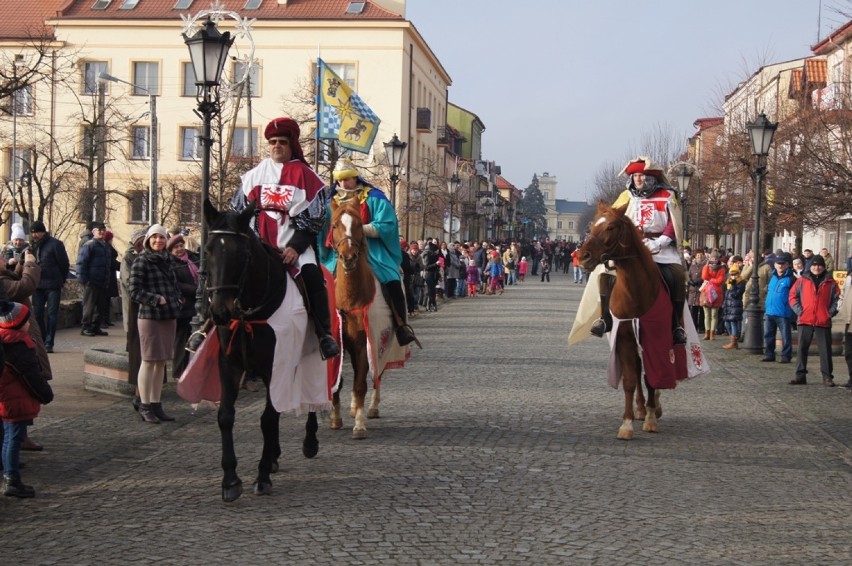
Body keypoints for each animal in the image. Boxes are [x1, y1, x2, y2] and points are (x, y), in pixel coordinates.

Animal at [203, 200, 320, 502]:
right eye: (208, 250)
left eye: (242, 253)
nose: (220, 312)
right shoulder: (229, 364)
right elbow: (226, 416)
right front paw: (230, 480)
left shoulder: (276, 365)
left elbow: (268, 418)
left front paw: (263, 475)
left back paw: (310, 442)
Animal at [576, 202, 668, 442]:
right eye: (592, 225)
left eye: (610, 227)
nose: (583, 257)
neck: (636, 291)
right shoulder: (625, 338)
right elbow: (629, 381)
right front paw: (627, 424)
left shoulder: (653, 339)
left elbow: (652, 377)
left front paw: (651, 419)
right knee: (636, 370)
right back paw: (641, 408)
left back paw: (652, 407)